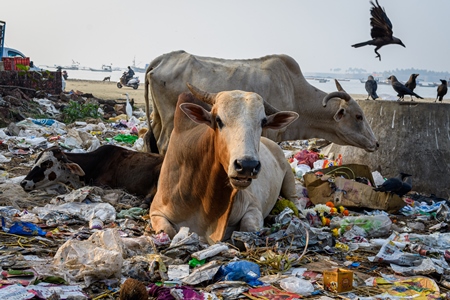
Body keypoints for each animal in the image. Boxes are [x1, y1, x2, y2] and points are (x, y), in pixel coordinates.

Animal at [149, 83, 300, 243]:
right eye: (218, 120)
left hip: (289, 178)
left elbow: (248, 227)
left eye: (263, 122)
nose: (247, 165)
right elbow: (168, 231)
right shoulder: (156, 211)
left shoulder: (253, 206)